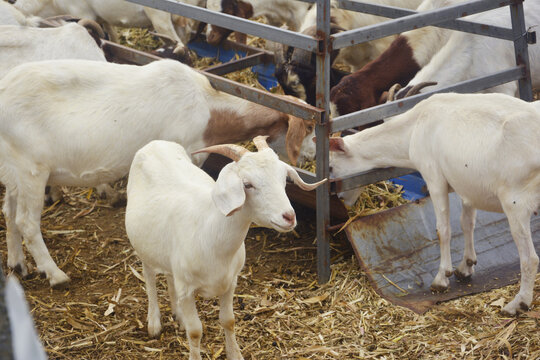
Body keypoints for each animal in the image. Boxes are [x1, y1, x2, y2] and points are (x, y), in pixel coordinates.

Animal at [0, 59, 316, 290]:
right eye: (309, 129)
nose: (312, 156)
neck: (208, 107)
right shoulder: (187, 151)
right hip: (31, 169)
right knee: (26, 222)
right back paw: (55, 274)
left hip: (14, 170)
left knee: (9, 213)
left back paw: (18, 265)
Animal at [126, 136, 324, 358]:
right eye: (247, 184)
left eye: (284, 179)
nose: (289, 217)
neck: (211, 235)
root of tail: (155, 143)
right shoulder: (187, 289)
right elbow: (195, 332)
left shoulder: (230, 282)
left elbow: (228, 320)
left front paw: (235, 354)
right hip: (142, 245)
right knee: (149, 276)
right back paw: (154, 322)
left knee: (168, 275)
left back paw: (178, 314)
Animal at [324, 93, 540, 316]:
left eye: (330, 167)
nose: (341, 198)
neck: (414, 128)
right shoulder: (466, 184)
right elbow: (467, 223)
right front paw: (466, 266)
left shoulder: (434, 177)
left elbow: (442, 229)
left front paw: (441, 278)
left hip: (516, 202)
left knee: (530, 258)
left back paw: (518, 303)